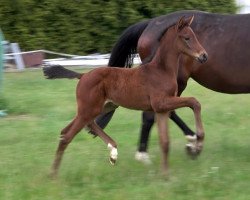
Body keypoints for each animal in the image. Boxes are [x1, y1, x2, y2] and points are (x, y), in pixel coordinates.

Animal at [44, 15, 207, 176]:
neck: (161, 70)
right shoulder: (161, 103)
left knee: (74, 128)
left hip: (104, 106)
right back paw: (53, 175)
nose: (204, 56)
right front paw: (199, 140)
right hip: (89, 109)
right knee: (67, 136)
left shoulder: (161, 109)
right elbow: (194, 102)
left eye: (195, 36)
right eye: (187, 37)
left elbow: (165, 142)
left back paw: (113, 152)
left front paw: (165, 176)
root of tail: (82, 75)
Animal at [94, 10, 250, 162]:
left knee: (165, 111)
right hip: (176, 83)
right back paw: (147, 154)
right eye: (187, 38)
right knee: (154, 113)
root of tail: (150, 23)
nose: (204, 56)